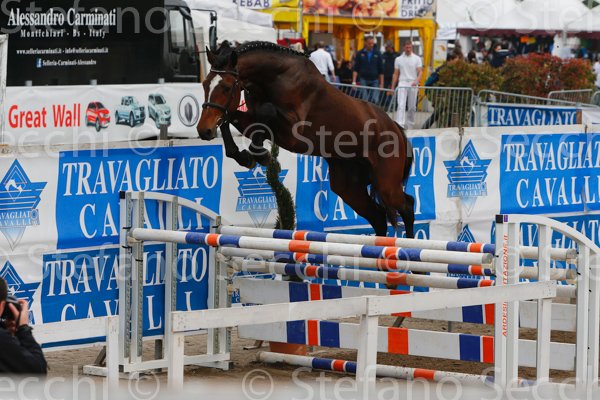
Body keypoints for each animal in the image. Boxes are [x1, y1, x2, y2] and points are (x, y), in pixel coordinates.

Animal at [197, 41, 415, 238]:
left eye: (226, 87)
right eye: (205, 84)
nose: (203, 131)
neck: (275, 77)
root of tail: (396, 128)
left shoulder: (293, 132)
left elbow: (266, 112)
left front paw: (261, 155)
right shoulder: (250, 119)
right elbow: (230, 118)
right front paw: (244, 157)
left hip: (387, 184)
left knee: (407, 205)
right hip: (348, 187)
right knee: (378, 217)